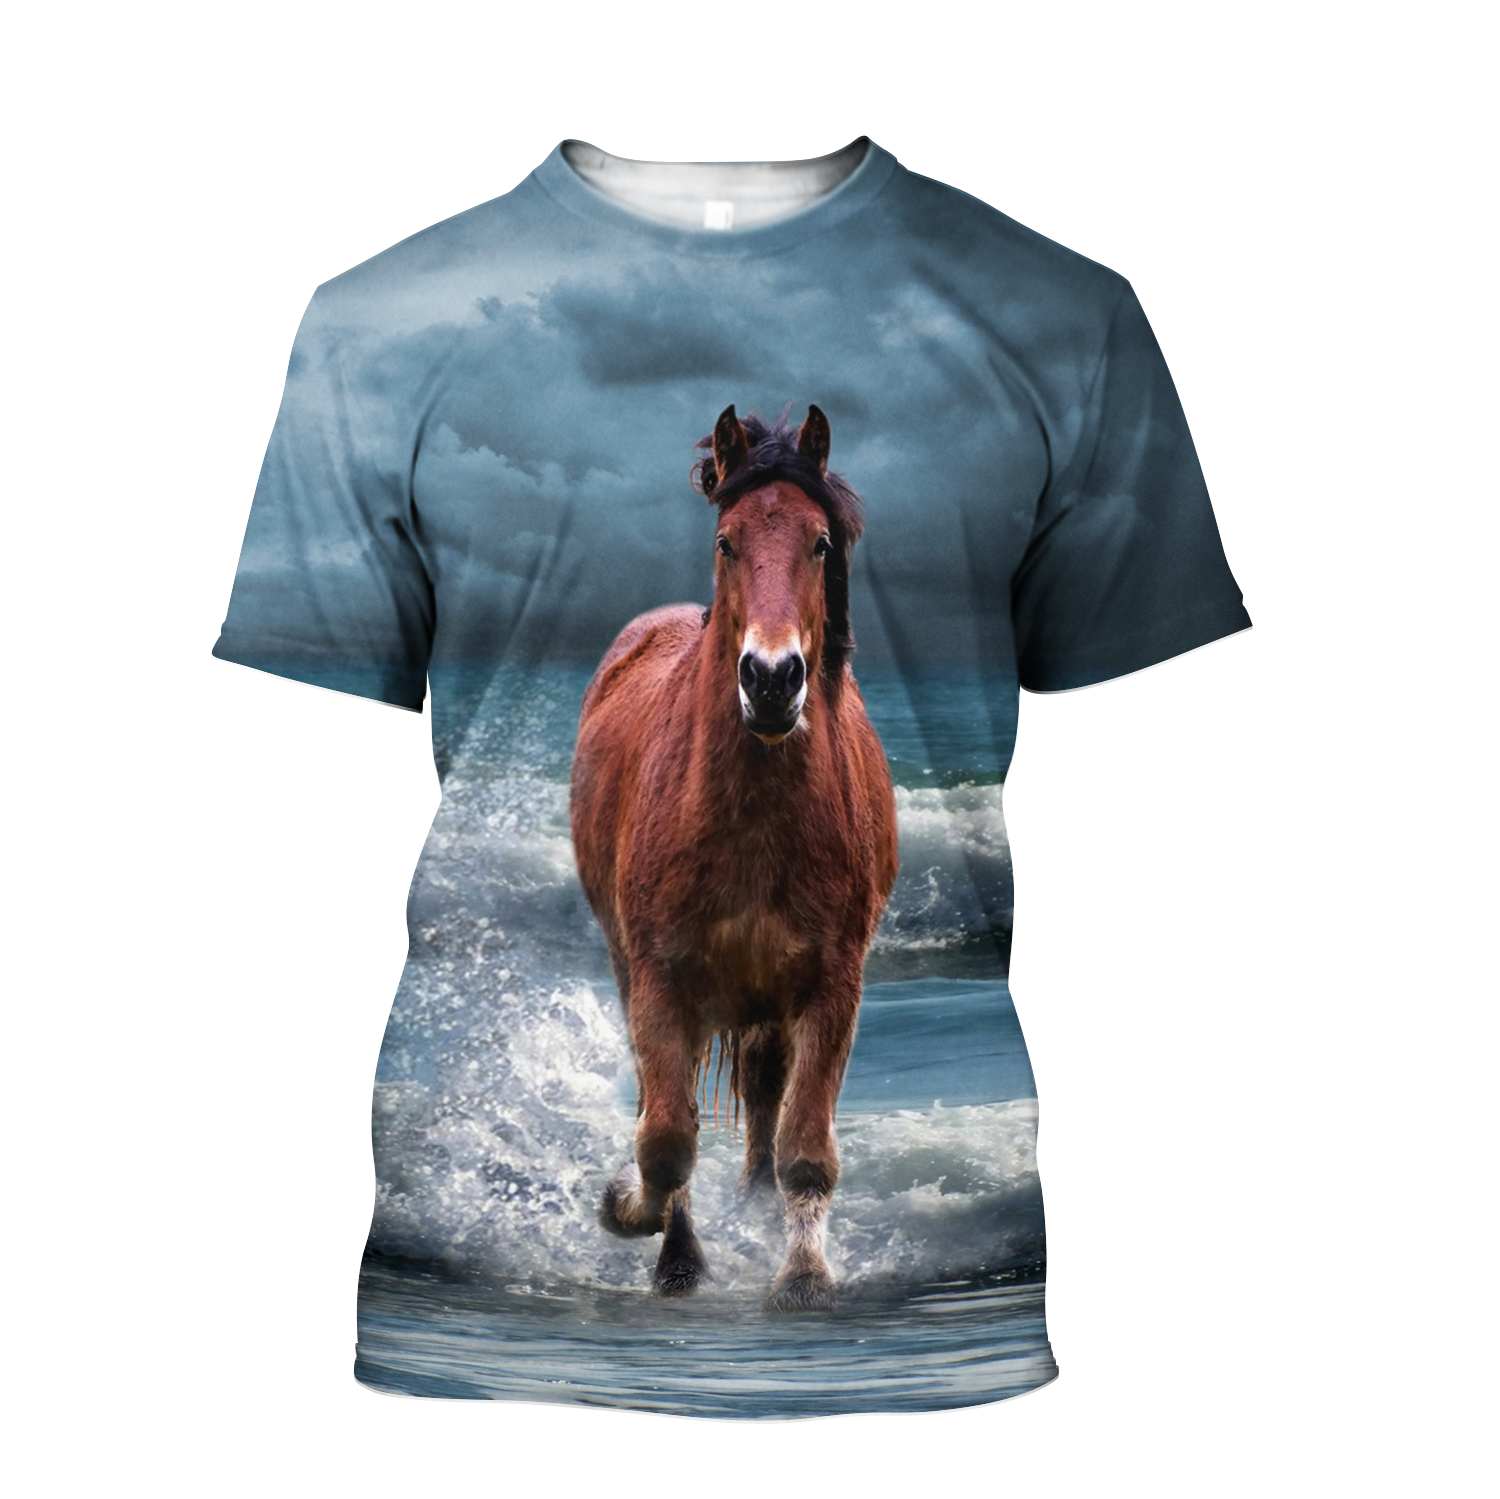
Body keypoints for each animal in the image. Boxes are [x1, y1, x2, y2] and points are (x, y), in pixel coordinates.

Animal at [569, 404, 898, 1313]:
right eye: (727, 541)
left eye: (819, 543)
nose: (773, 677)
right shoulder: (659, 980)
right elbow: (665, 1138)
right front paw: (637, 1220)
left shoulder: (831, 987)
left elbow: (804, 1146)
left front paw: (804, 1274)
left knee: (763, 1105)